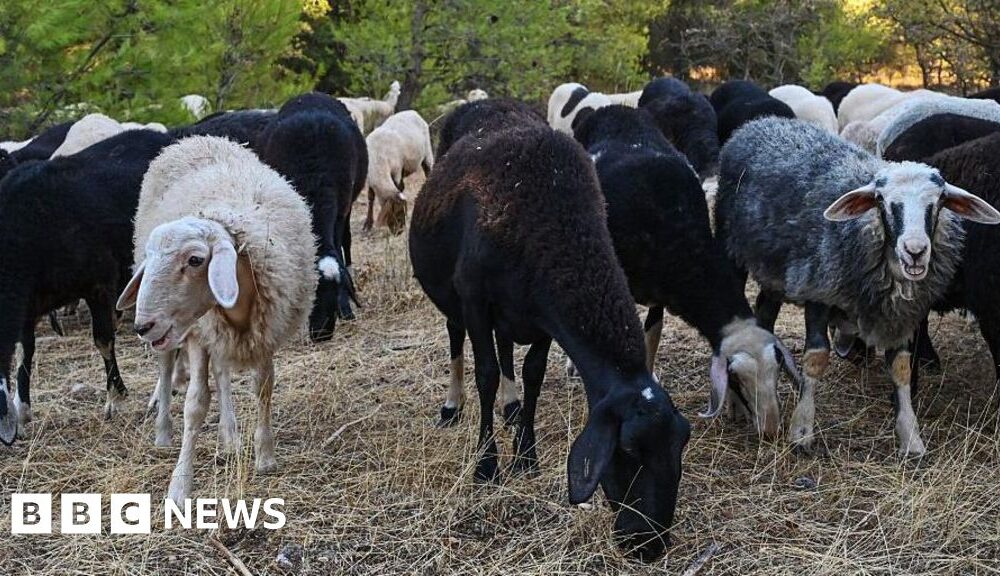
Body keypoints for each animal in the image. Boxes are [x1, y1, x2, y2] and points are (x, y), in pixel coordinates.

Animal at [0, 129, 174, 445]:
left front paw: (116, 399)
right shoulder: (29, 303)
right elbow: (25, 349)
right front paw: (23, 409)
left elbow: (103, 340)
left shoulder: (99, 283)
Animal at [116, 135, 316, 503]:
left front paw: (265, 456)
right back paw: (163, 433)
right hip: (180, 334)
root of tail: (194, 139)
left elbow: (263, 387)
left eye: (196, 260)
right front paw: (179, 485)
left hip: (216, 335)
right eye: (149, 258)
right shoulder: (199, 334)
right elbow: (195, 404)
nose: (141, 327)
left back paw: (229, 438)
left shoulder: (264, 330)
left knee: (222, 372)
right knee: (166, 367)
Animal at [409, 123, 690, 562]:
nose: (649, 545)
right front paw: (487, 467)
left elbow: (533, 375)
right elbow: (486, 374)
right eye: (627, 450)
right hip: (454, 301)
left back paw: (510, 410)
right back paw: (453, 407)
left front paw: (526, 456)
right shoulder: (475, 300)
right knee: (458, 341)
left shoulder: (541, 315)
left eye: (681, 445)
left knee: (507, 351)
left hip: (510, 315)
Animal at [573, 105, 800, 438]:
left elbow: (652, 337)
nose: (770, 430)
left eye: (777, 370)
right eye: (736, 378)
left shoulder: (659, 294)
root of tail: (611, 108)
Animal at [715, 117, 1000, 456]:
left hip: (774, 269)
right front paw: (802, 432)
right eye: (882, 201)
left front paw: (911, 439)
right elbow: (816, 358)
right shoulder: (818, 290)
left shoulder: (902, 313)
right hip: (731, 250)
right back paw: (736, 404)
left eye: (939, 201)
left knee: (764, 313)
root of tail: (759, 123)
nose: (915, 251)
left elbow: (901, 368)